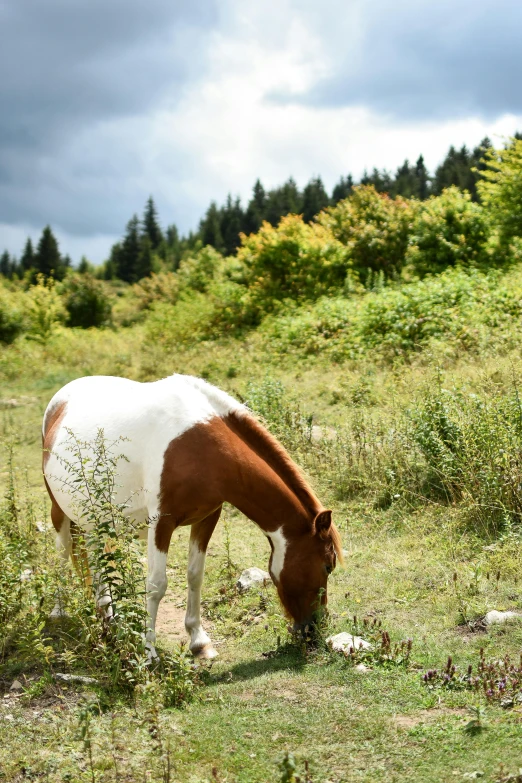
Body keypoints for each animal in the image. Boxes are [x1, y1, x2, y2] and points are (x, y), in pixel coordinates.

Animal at [41, 376, 342, 660]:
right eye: (327, 566)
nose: (314, 629)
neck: (203, 449)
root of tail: (59, 400)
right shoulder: (161, 523)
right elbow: (156, 585)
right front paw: (149, 652)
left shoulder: (207, 518)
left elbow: (195, 575)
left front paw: (199, 642)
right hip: (59, 509)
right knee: (62, 551)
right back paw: (59, 611)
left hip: (94, 518)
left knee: (95, 559)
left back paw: (107, 613)